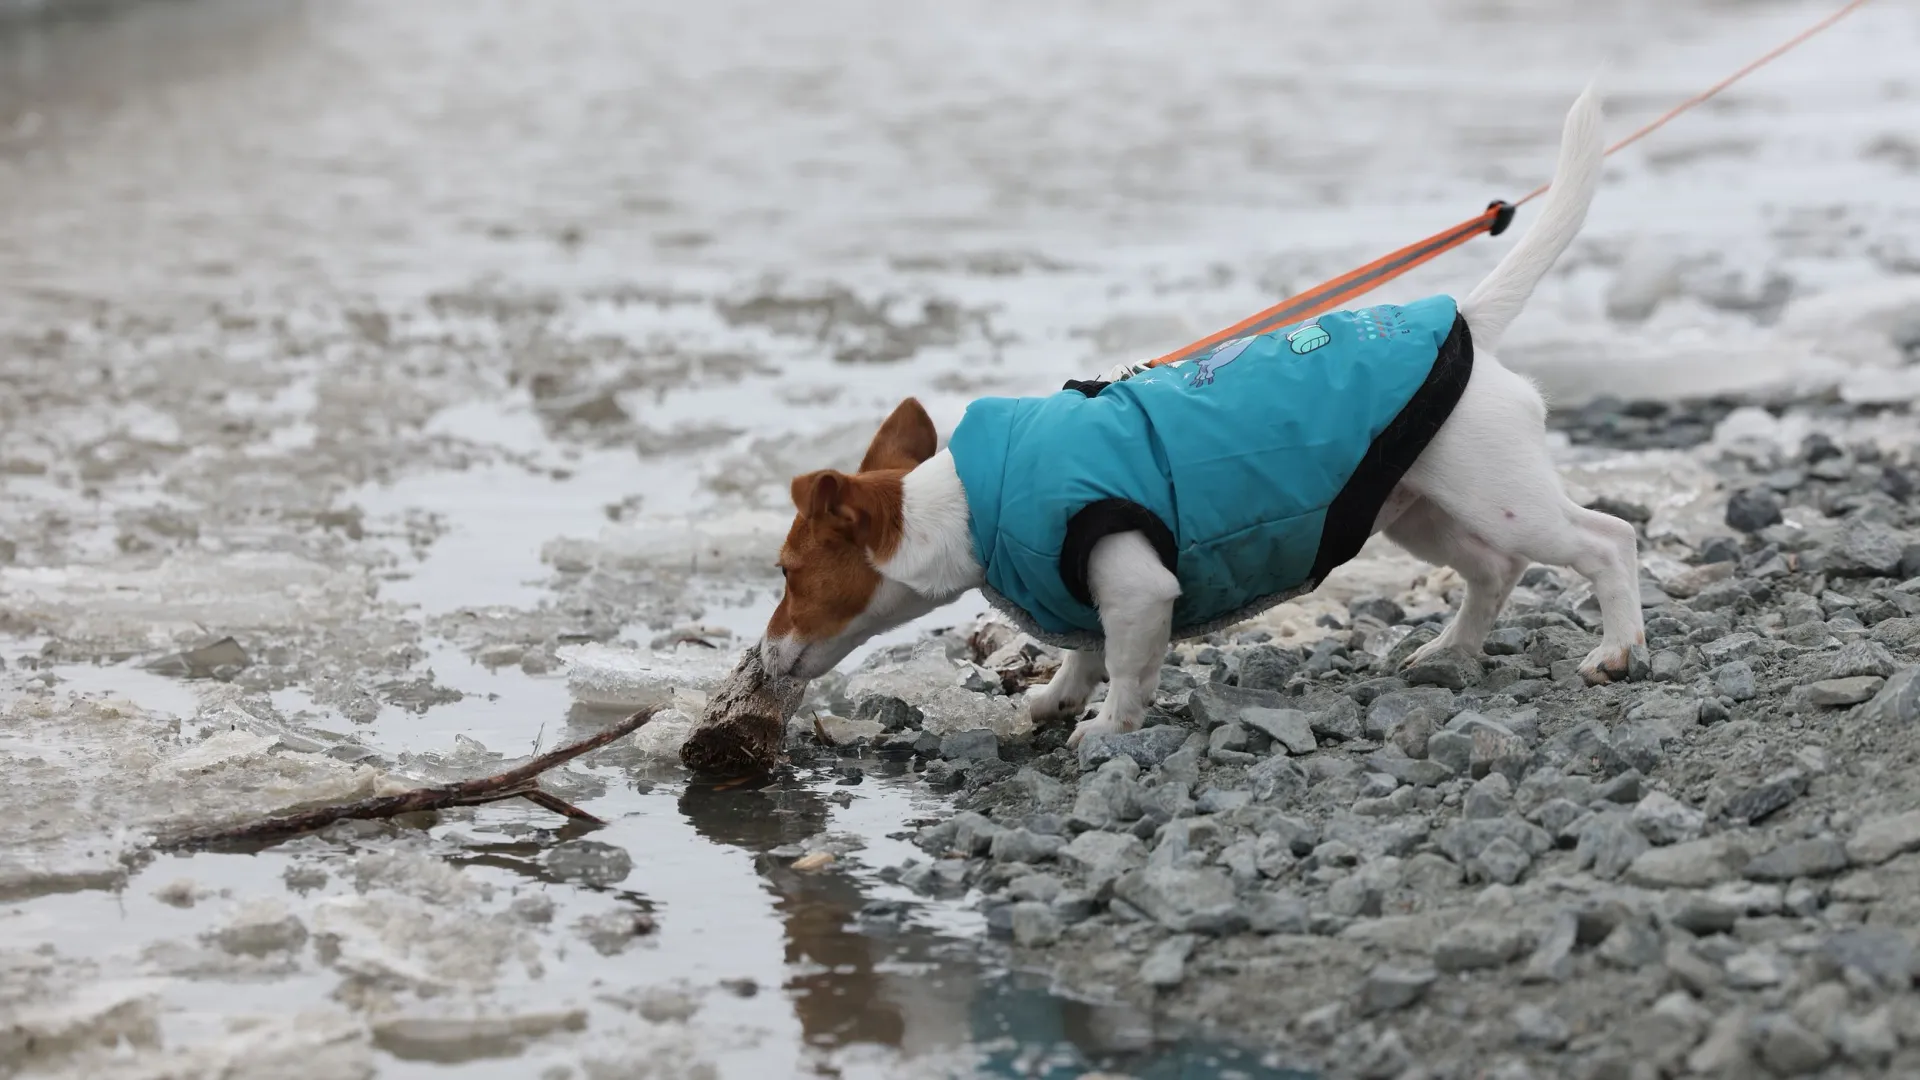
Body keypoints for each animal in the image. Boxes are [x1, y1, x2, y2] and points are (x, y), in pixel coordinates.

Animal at [756, 88, 1643, 749]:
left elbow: (1127, 665)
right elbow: (1086, 651)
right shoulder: (1090, 594)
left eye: (788, 573)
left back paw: (1616, 650)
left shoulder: (1138, 583)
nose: (759, 658)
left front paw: (1108, 728)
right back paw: (1451, 649)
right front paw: (1056, 699)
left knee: (1606, 540)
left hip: (1502, 494)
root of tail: (1464, 322)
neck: (974, 499)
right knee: (1494, 570)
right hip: (1413, 507)